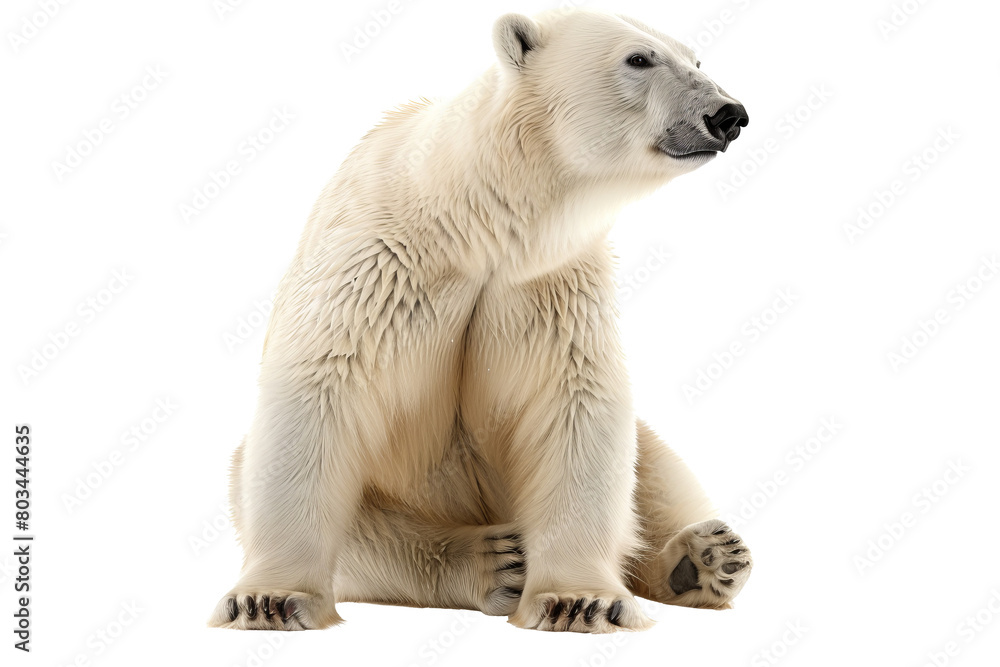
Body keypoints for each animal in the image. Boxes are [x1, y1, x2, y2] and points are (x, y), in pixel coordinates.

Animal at [209, 8, 751, 634]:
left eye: (697, 59)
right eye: (639, 58)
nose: (729, 114)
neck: (471, 219)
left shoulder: (551, 283)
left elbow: (574, 406)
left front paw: (580, 601)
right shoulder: (374, 264)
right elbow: (320, 394)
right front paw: (269, 599)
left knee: (655, 467)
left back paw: (705, 556)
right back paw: (496, 563)